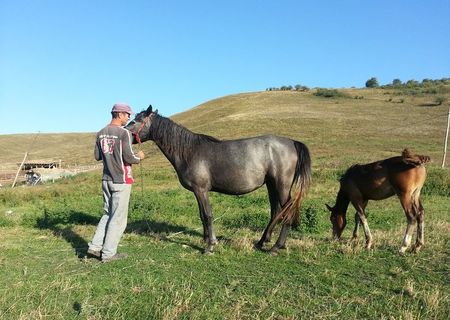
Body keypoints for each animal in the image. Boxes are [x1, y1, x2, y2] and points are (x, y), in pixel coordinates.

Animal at [125, 106, 312, 254]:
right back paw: (262, 242)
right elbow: (202, 215)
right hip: (271, 185)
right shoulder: (198, 191)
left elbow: (207, 215)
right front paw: (206, 239)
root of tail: (292, 142)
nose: (123, 133)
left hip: (281, 185)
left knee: (287, 211)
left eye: (134, 121)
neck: (190, 151)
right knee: (275, 211)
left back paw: (276, 247)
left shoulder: (201, 190)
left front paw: (210, 245)